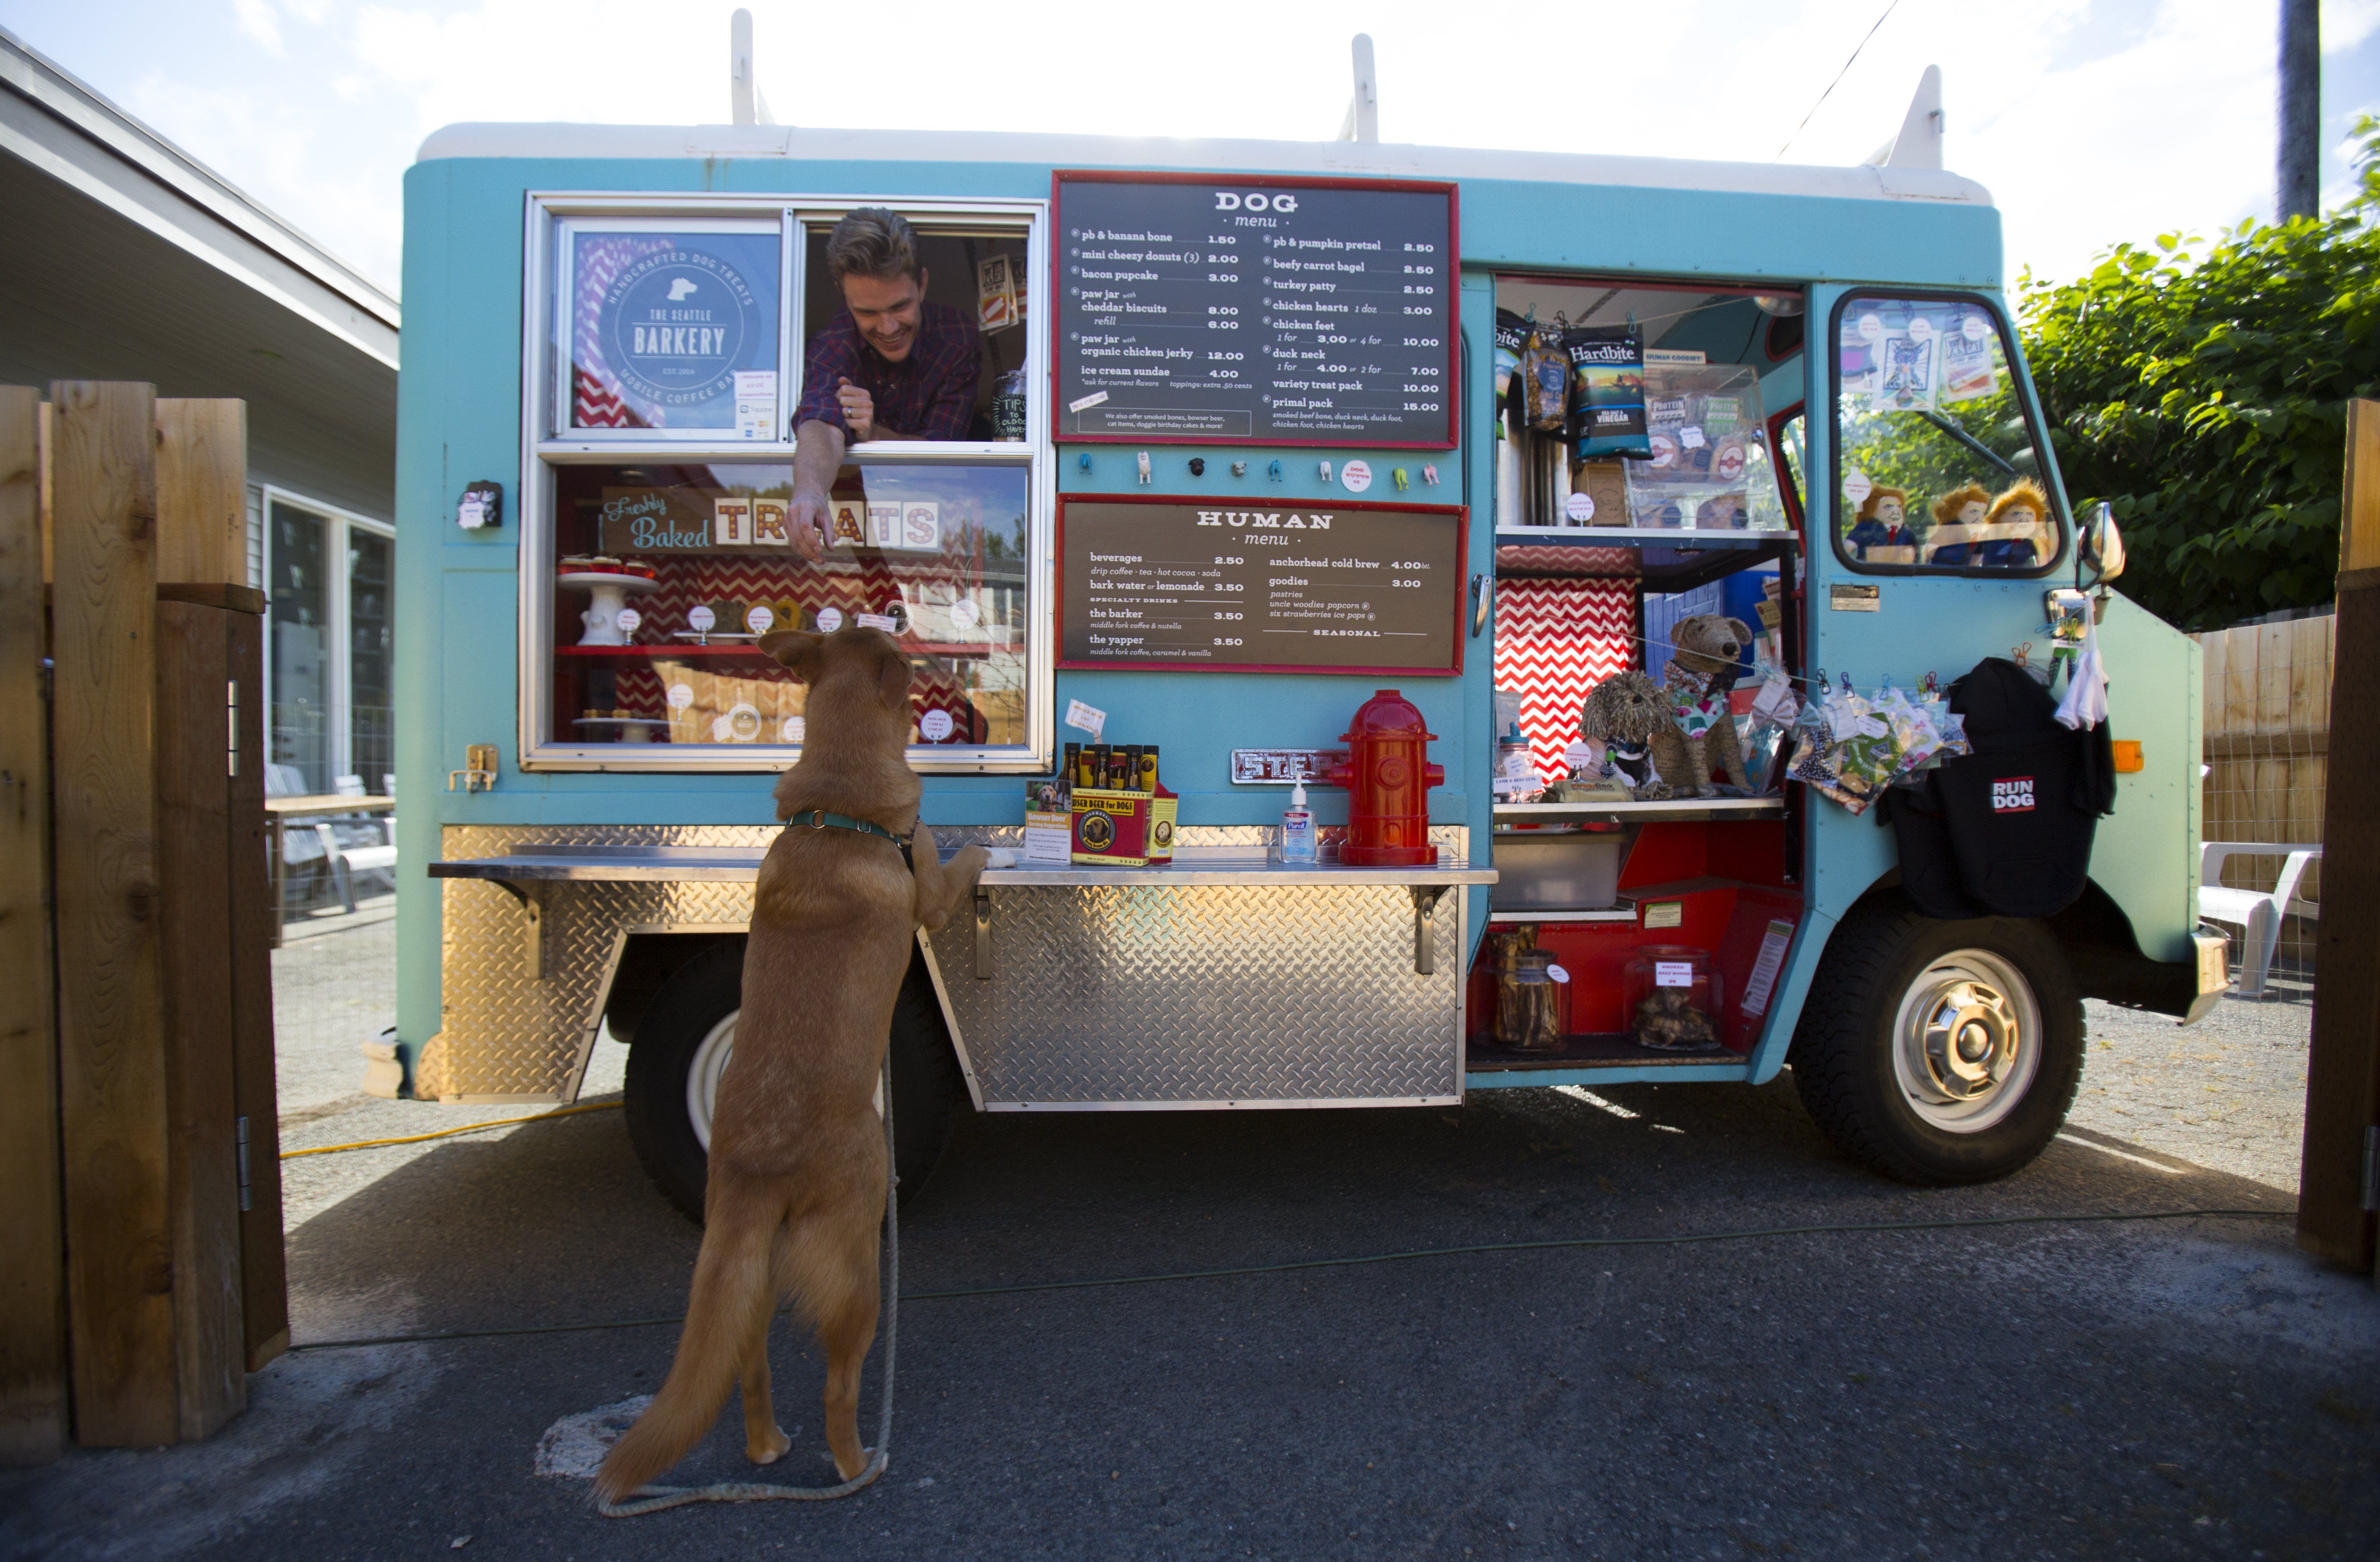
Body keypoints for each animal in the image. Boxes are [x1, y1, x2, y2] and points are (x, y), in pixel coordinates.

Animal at [604, 624, 995, 1505]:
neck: (838, 810)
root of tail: (759, 1168)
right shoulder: (930, 890)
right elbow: (953, 869)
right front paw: (987, 846)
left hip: (739, 1269)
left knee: (745, 1365)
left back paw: (765, 1447)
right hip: (858, 1266)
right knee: (836, 1386)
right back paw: (856, 1463)